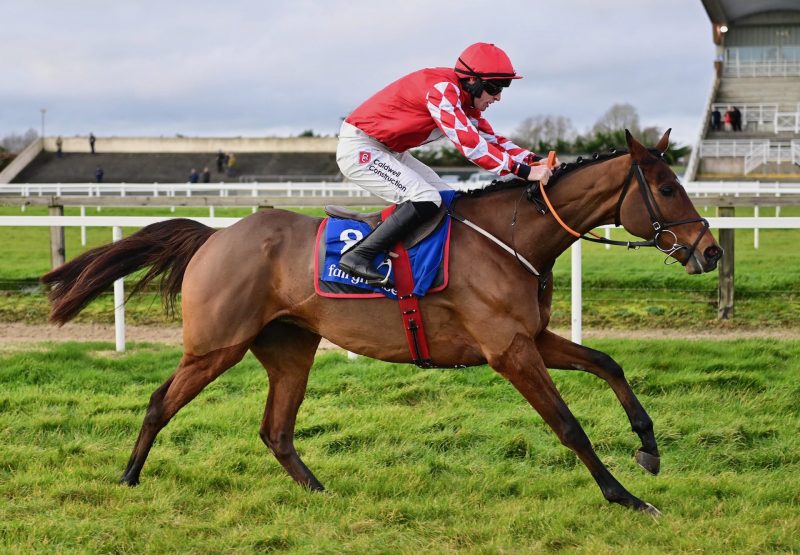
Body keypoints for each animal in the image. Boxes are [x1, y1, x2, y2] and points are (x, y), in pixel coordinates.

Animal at [40, 128, 720, 516]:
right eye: (665, 187)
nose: (710, 251)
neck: (512, 236)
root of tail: (216, 235)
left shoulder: (529, 337)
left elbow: (608, 362)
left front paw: (649, 447)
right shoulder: (509, 351)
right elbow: (570, 426)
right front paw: (625, 496)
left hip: (290, 348)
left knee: (275, 430)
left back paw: (320, 494)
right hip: (216, 346)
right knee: (161, 401)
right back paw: (129, 479)